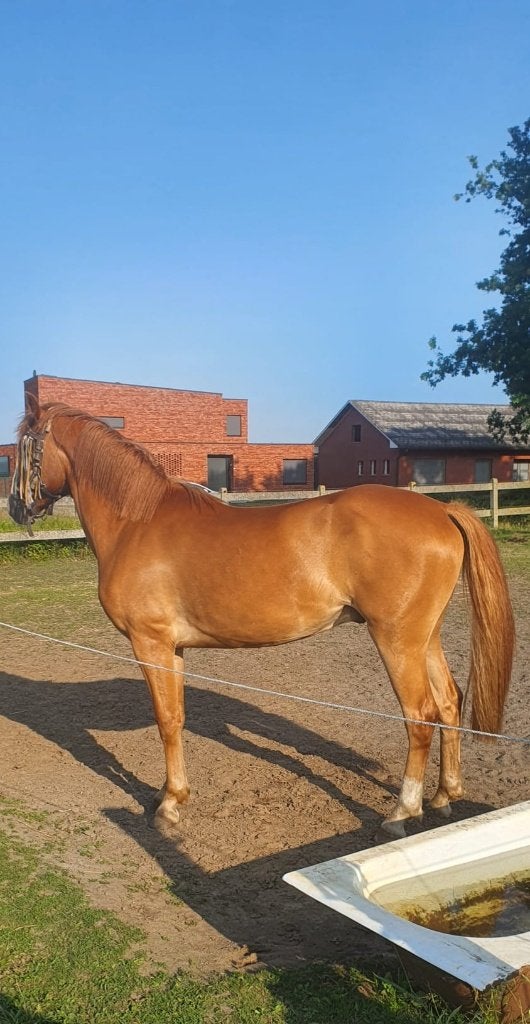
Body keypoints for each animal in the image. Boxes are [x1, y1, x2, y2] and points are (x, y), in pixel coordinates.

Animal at [9, 397, 515, 838]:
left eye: (21, 446)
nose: (15, 507)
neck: (137, 523)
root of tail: (442, 510)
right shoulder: (173, 649)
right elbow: (177, 717)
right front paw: (172, 794)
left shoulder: (149, 643)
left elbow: (166, 720)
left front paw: (169, 806)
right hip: (424, 637)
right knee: (448, 702)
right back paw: (445, 796)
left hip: (397, 639)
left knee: (420, 716)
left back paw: (402, 812)